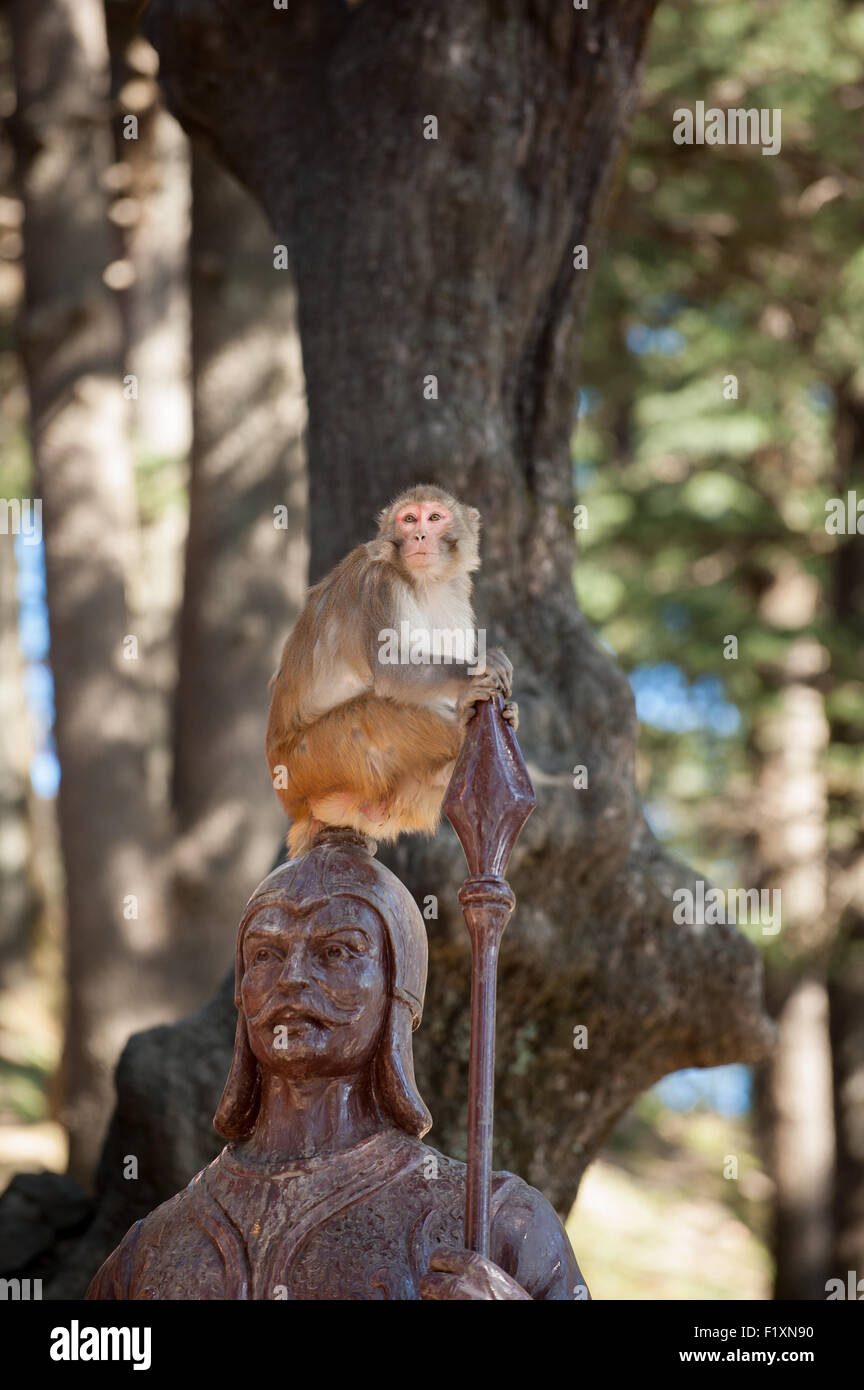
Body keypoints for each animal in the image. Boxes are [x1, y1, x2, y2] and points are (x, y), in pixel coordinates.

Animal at [268, 486, 516, 856]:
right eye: (409, 519)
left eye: (435, 517)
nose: (419, 535)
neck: (424, 582)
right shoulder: (379, 584)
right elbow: (391, 670)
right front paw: (477, 671)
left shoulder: (456, 591)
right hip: (313, 760)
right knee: (374, 713)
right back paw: (459, 730)